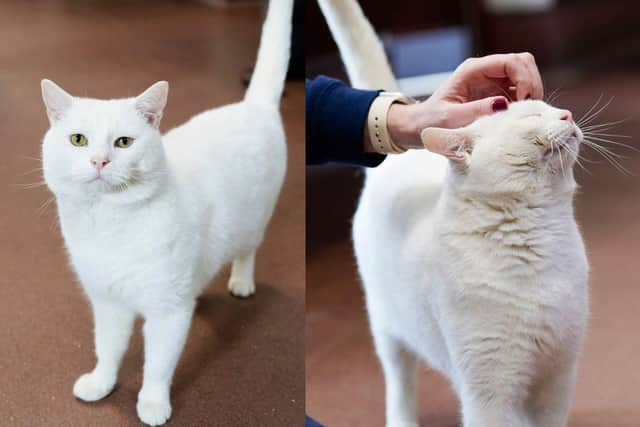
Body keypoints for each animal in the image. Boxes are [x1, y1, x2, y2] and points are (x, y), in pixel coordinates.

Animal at [37, 1, 292, 426]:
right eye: (78, 139)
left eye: (124, 142)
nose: (99, 160)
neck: (109, 227)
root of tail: (252, 105)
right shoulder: (107, 301)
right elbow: (107, 349)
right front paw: (101, 383)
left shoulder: (167, 313)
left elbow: (157, 366)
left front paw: (153, 405)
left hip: (253, 223)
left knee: (247, 252)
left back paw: (241, 281)